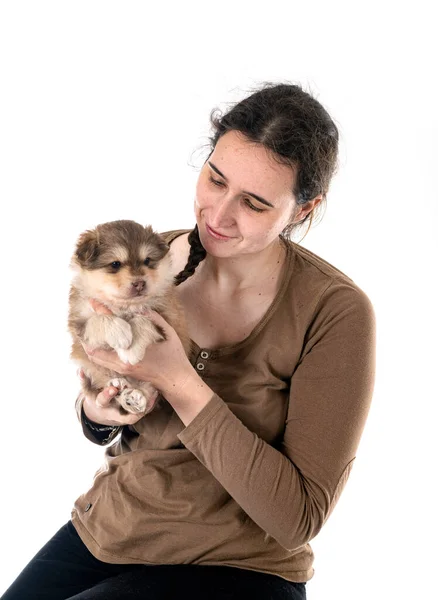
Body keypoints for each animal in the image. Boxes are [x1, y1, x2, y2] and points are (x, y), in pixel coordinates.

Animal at [68, 219, 192, 418]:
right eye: (115, 264)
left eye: (147, 260)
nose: (140, 283)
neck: (124, 305)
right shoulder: (79, 322)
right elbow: (98, 320)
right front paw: (121, 333)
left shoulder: (167, 317)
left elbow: (142, 320)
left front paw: (131, 351)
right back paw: (120, 387)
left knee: (148, 390)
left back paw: (134, 398)